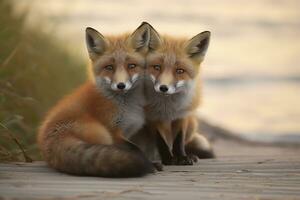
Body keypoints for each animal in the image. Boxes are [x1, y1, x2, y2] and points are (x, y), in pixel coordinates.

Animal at [36, 22, 157, 177]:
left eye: (131, 66)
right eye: (109, 67)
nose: (121, 85)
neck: (126, 106)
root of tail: (50, 141)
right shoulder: (113, 131)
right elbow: (136, 149)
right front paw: (150, 164)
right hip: (102, 134)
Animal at [144, 24, 214, 164]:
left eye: (180, 71)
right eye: (157, 67)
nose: (163, 88)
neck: (167, 107)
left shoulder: (182, 114)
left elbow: (178, 140)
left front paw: (182, 157)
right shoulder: (151, 117)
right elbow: (161, 141)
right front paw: (168, 159)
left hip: (192, 124)